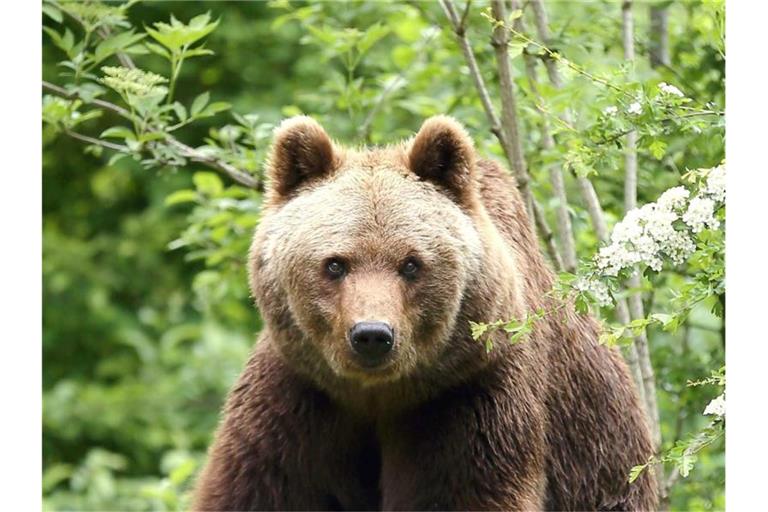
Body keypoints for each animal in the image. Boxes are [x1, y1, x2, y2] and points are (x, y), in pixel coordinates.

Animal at [194, 116, 660, 512]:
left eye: (411, 264)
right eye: (335, 264)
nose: (371, 335)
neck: (376, 396)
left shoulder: (467, 400)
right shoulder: (297, 402)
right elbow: (257, 488)